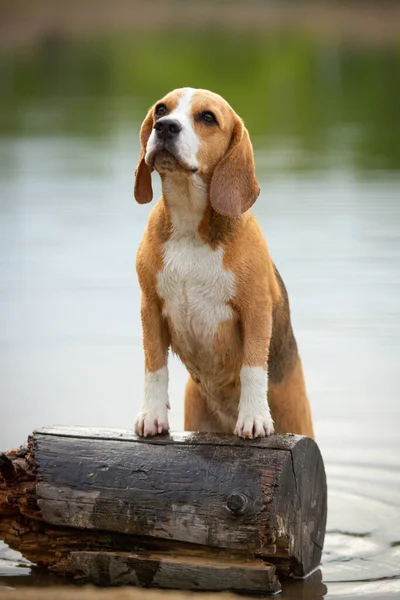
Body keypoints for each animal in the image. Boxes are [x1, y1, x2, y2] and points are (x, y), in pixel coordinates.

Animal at [133, 85, 314, 440]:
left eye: (207, 117)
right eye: (161, 109)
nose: (166, 127)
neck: (190, 226)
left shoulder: (256, 308)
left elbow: (253, 366)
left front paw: (254, 416)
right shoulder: (150, 306)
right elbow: (154, 365)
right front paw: (152, 415)